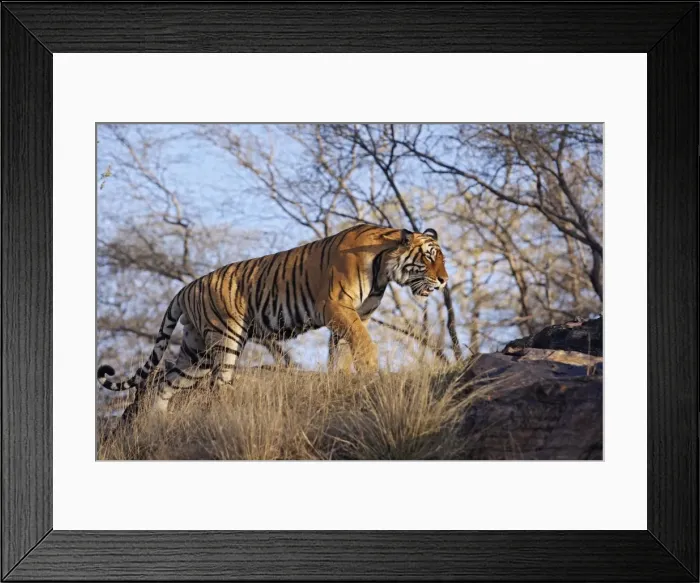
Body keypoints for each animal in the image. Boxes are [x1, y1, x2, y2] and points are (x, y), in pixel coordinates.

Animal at [97, 223, 448, 417]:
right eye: (429, 257)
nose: (444, 280)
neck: (383, 266)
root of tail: (186, 287)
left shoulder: (349, 317)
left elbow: (341, 354)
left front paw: (342, 381)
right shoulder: (337, 307)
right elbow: (363, 343)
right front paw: (370, 373)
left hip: (196, 351)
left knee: (166, 382)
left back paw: (159, 420)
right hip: (226, 337)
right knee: (219, 383)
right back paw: (228, 413)